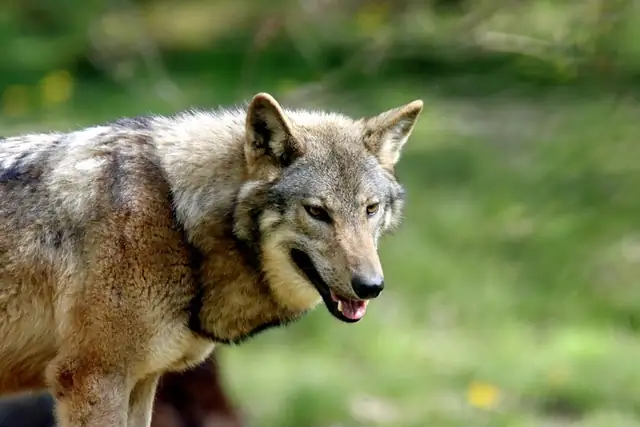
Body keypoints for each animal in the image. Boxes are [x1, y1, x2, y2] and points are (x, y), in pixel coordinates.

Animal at [0, 92, 423, 427]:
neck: (177, 218)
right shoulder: (94, 379)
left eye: (370, 209)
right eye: (317, 212)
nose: (370, 287)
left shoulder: (142, 380)